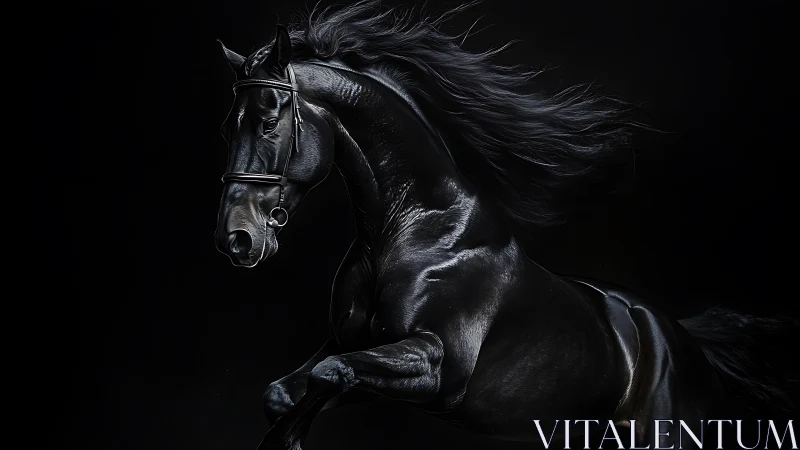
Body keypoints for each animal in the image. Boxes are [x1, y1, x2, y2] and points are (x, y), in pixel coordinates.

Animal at [211, 2, 796, 449]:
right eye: (229, 125)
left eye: (268, 119)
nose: (236, 238)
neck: (413, 229)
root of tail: (686, 341)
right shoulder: (346, 344)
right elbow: (293, 387)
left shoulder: (437, 366)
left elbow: (327, 374)